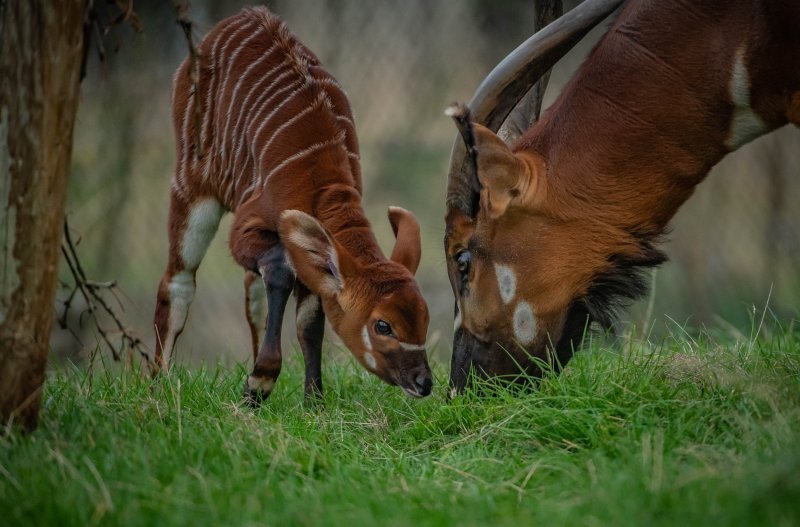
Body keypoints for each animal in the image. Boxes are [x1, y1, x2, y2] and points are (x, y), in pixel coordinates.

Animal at [150, 6, 432, 402]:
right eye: (383, 325)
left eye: (425, 318)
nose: (424, 382)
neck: (323, 182)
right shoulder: (248, 226)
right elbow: (281, 269)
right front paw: (260, 381)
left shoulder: (310, 256)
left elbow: (309, 322)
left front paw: (313, 400)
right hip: (192, 186)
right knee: (178, 280)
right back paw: (158, 385)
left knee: (251, 290)